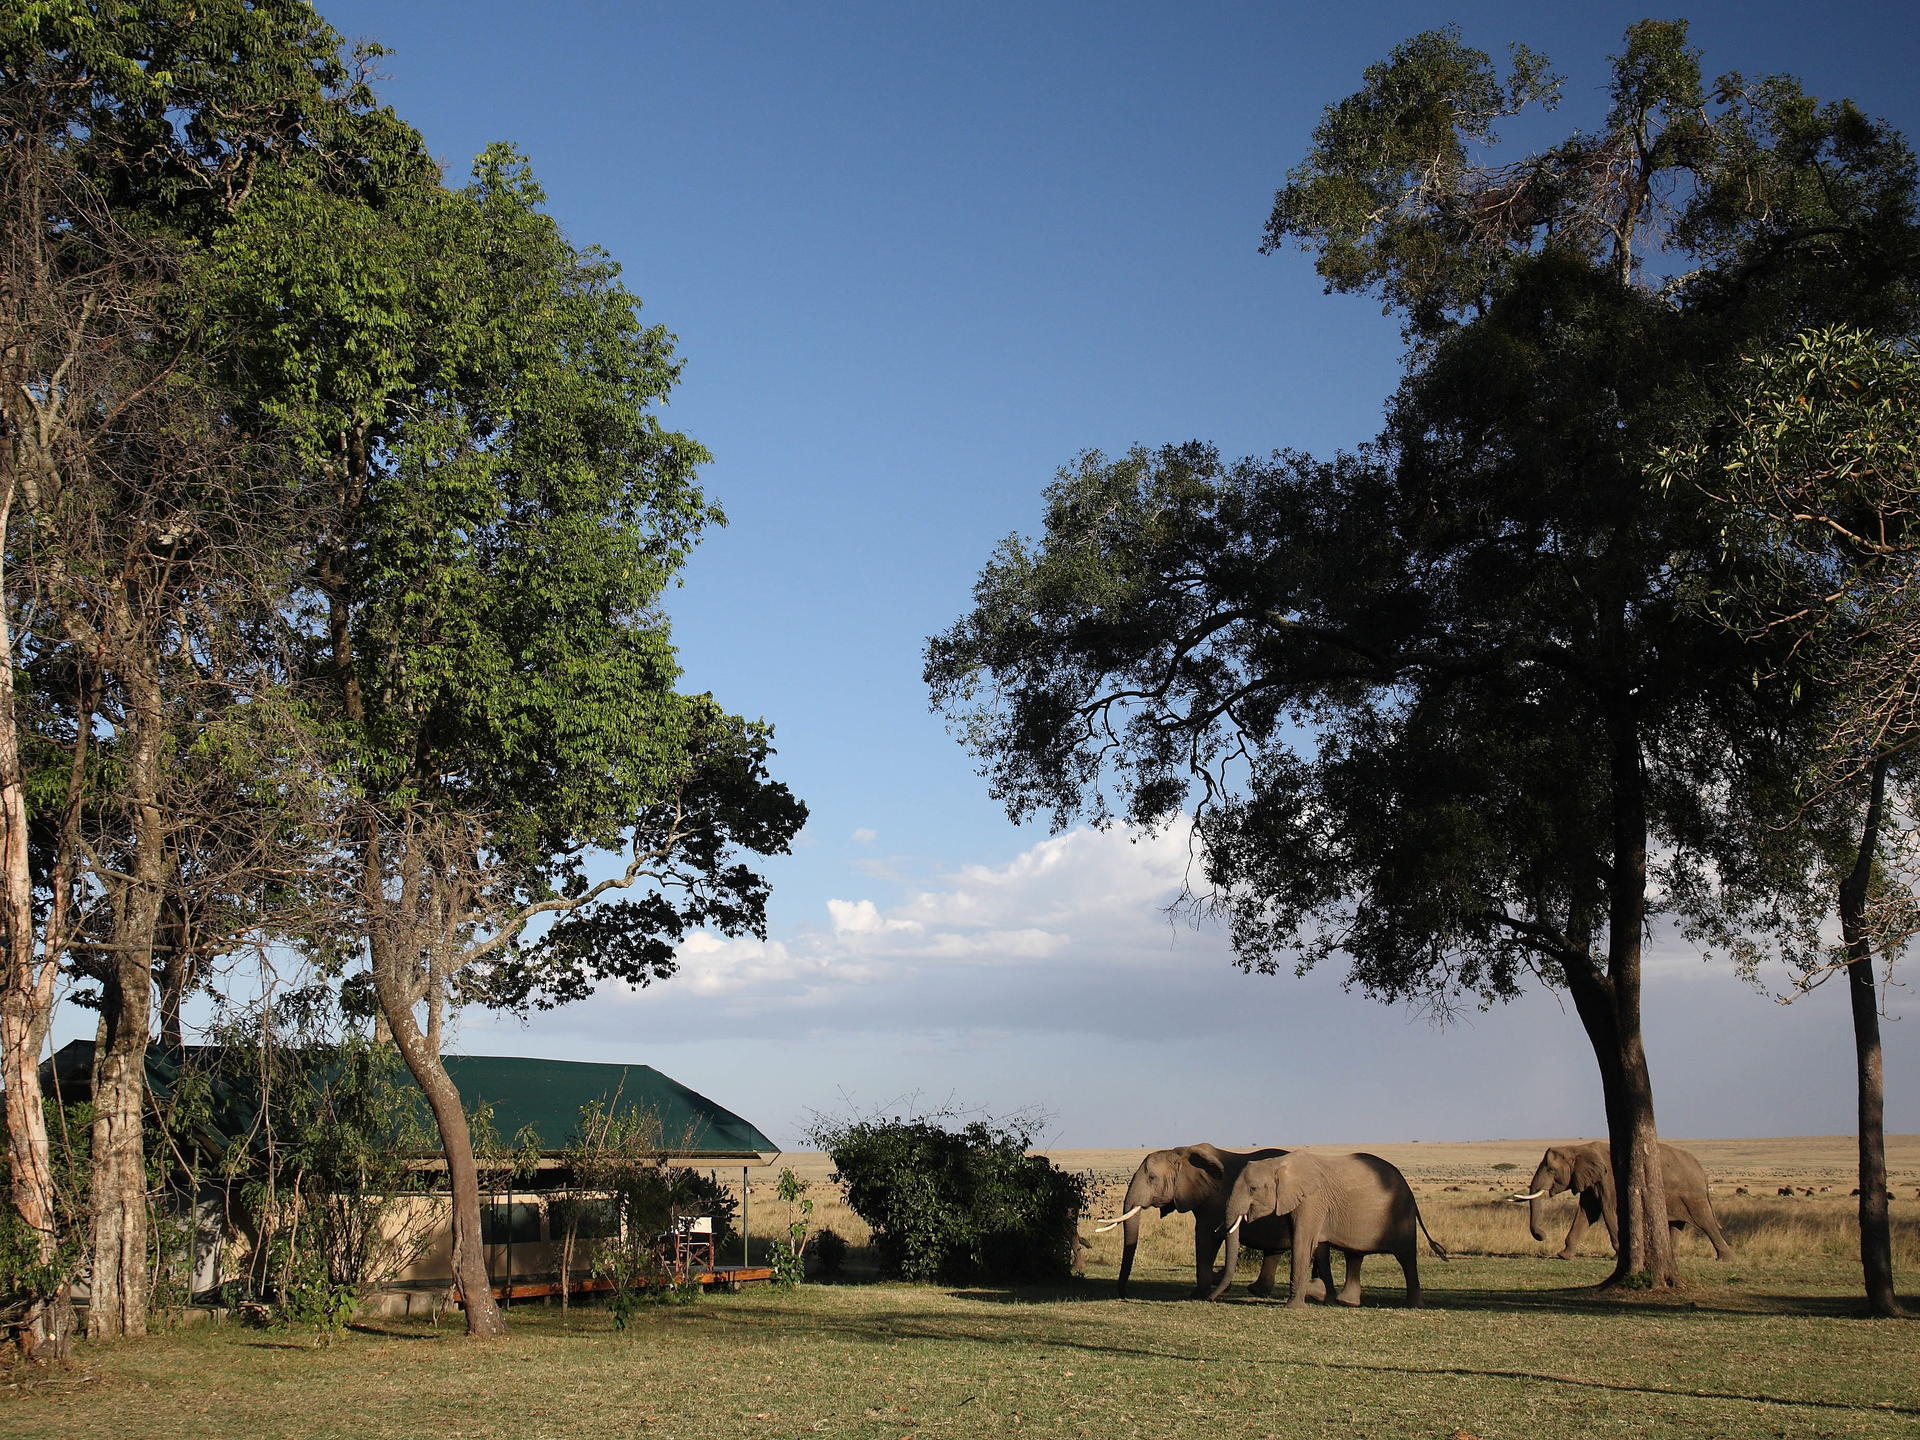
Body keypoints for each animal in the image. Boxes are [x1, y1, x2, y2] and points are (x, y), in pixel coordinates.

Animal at [1098, 1144, 1290, 1305]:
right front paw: (1215, 1281)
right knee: (1274, 1251)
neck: (1179, 1154)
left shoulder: (1214, 1201)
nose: (1125, 1295)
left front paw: (1198, 1294)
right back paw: (1257, 1290)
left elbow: (1206, 1237)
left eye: (1152, 1178)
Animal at [1205, 1159, 1443, 1313]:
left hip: (1402, 1214)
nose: (1210, 1299)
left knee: (1406, 1258)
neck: (1278, 1164)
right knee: (1354, 1255)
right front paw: (1323, 1297)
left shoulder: (1312, 1200)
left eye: (1253, 1188)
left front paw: (1294, 1306)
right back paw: (1346, 1302)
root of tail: (1409, 1189)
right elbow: (1315, 1246)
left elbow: (1302, 1242)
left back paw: (1413, 1306)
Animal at [1512, 1144, 1743, 1259]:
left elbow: (1608, 1211)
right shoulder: (1591, 1179)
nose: (1542, 1235)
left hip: (1693, 1193)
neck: (1578, 1147)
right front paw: (1563, 1255)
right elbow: (1588, 1213)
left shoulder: (1610, 1179)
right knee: (1677, 1224)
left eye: (1551, 1170)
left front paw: (1618, 1256)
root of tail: (1702, 1171)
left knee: (1705, 1220)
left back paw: (1725, 1259)